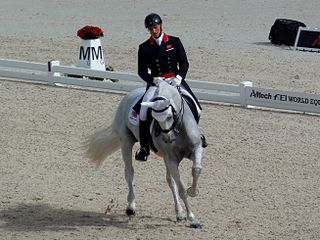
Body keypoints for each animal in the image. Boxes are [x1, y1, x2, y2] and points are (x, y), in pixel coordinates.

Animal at [85, 79, 202, 228]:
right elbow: (181, 189)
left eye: (170, 116)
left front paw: (192, 191)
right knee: (129, 173)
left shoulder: (196, 148)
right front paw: (193, 219)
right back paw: (131, 207)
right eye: (154, 117)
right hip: (126, 142)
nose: (168, 139)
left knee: (170, 180)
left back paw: (179, 212)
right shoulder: (171, 159)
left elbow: (196, 169)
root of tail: (128, 96)